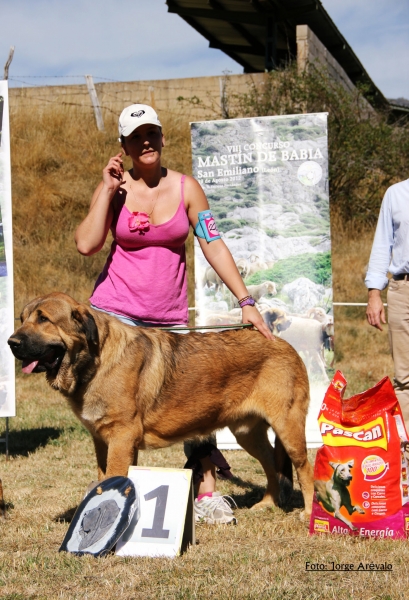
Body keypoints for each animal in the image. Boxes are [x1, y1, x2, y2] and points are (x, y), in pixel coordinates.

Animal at [7, 292, 312, 516]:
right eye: (22, 318)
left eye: (44, 319)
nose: (11, 342)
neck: (95, 361)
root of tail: (283, 343)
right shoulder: (103, 440)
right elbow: (106, 479)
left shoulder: (121, 438)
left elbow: (114, 478)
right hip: (247, 433)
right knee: (272, 464)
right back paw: (267, 504)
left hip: (289, 429)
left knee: (304, 469)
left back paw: (309, 514)